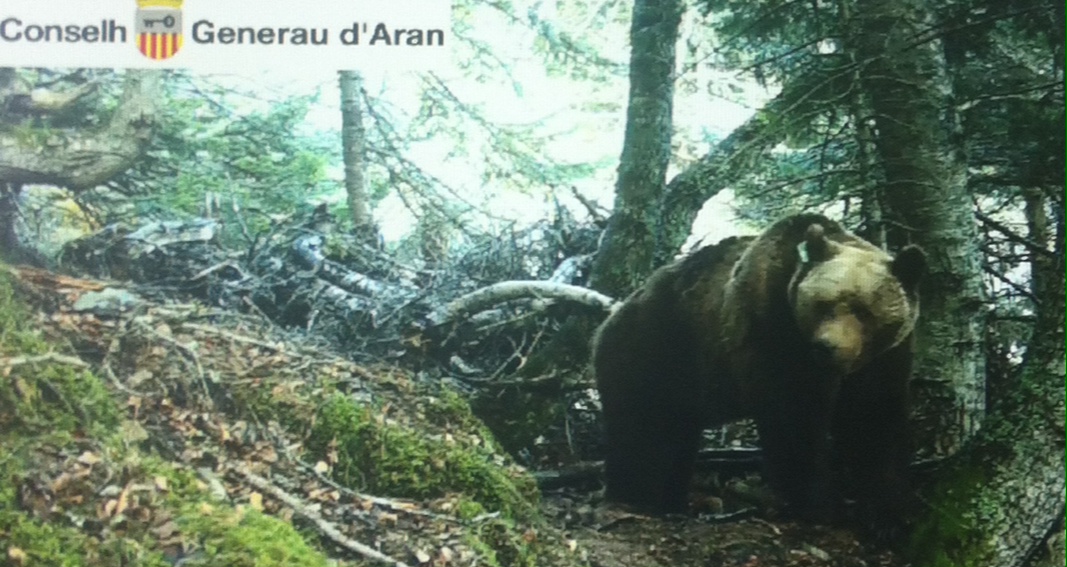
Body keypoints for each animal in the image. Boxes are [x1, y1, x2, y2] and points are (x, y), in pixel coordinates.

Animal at [593, 213, 926, 527]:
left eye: (863, 311)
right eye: (822, 305)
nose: (827, 347)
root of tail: (609, 319)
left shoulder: (884, 357)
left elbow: (873, 418)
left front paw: (890, 508)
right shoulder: (771, 330)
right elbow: (793, 415)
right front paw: (818, 504)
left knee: (677, 435)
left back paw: (669, 499)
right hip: (656, 351)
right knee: (642, 430)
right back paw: (635, 496)